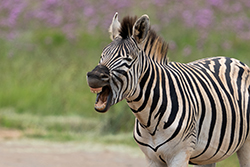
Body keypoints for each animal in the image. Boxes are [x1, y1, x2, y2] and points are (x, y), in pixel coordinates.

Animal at [86, 12, 250, 166]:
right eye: (102, 55)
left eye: (128, 59)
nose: (94, 76)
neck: (149, 121)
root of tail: (230, 59)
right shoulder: (152, 158)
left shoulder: (179, 155)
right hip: (208, 155)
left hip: (246, 144)